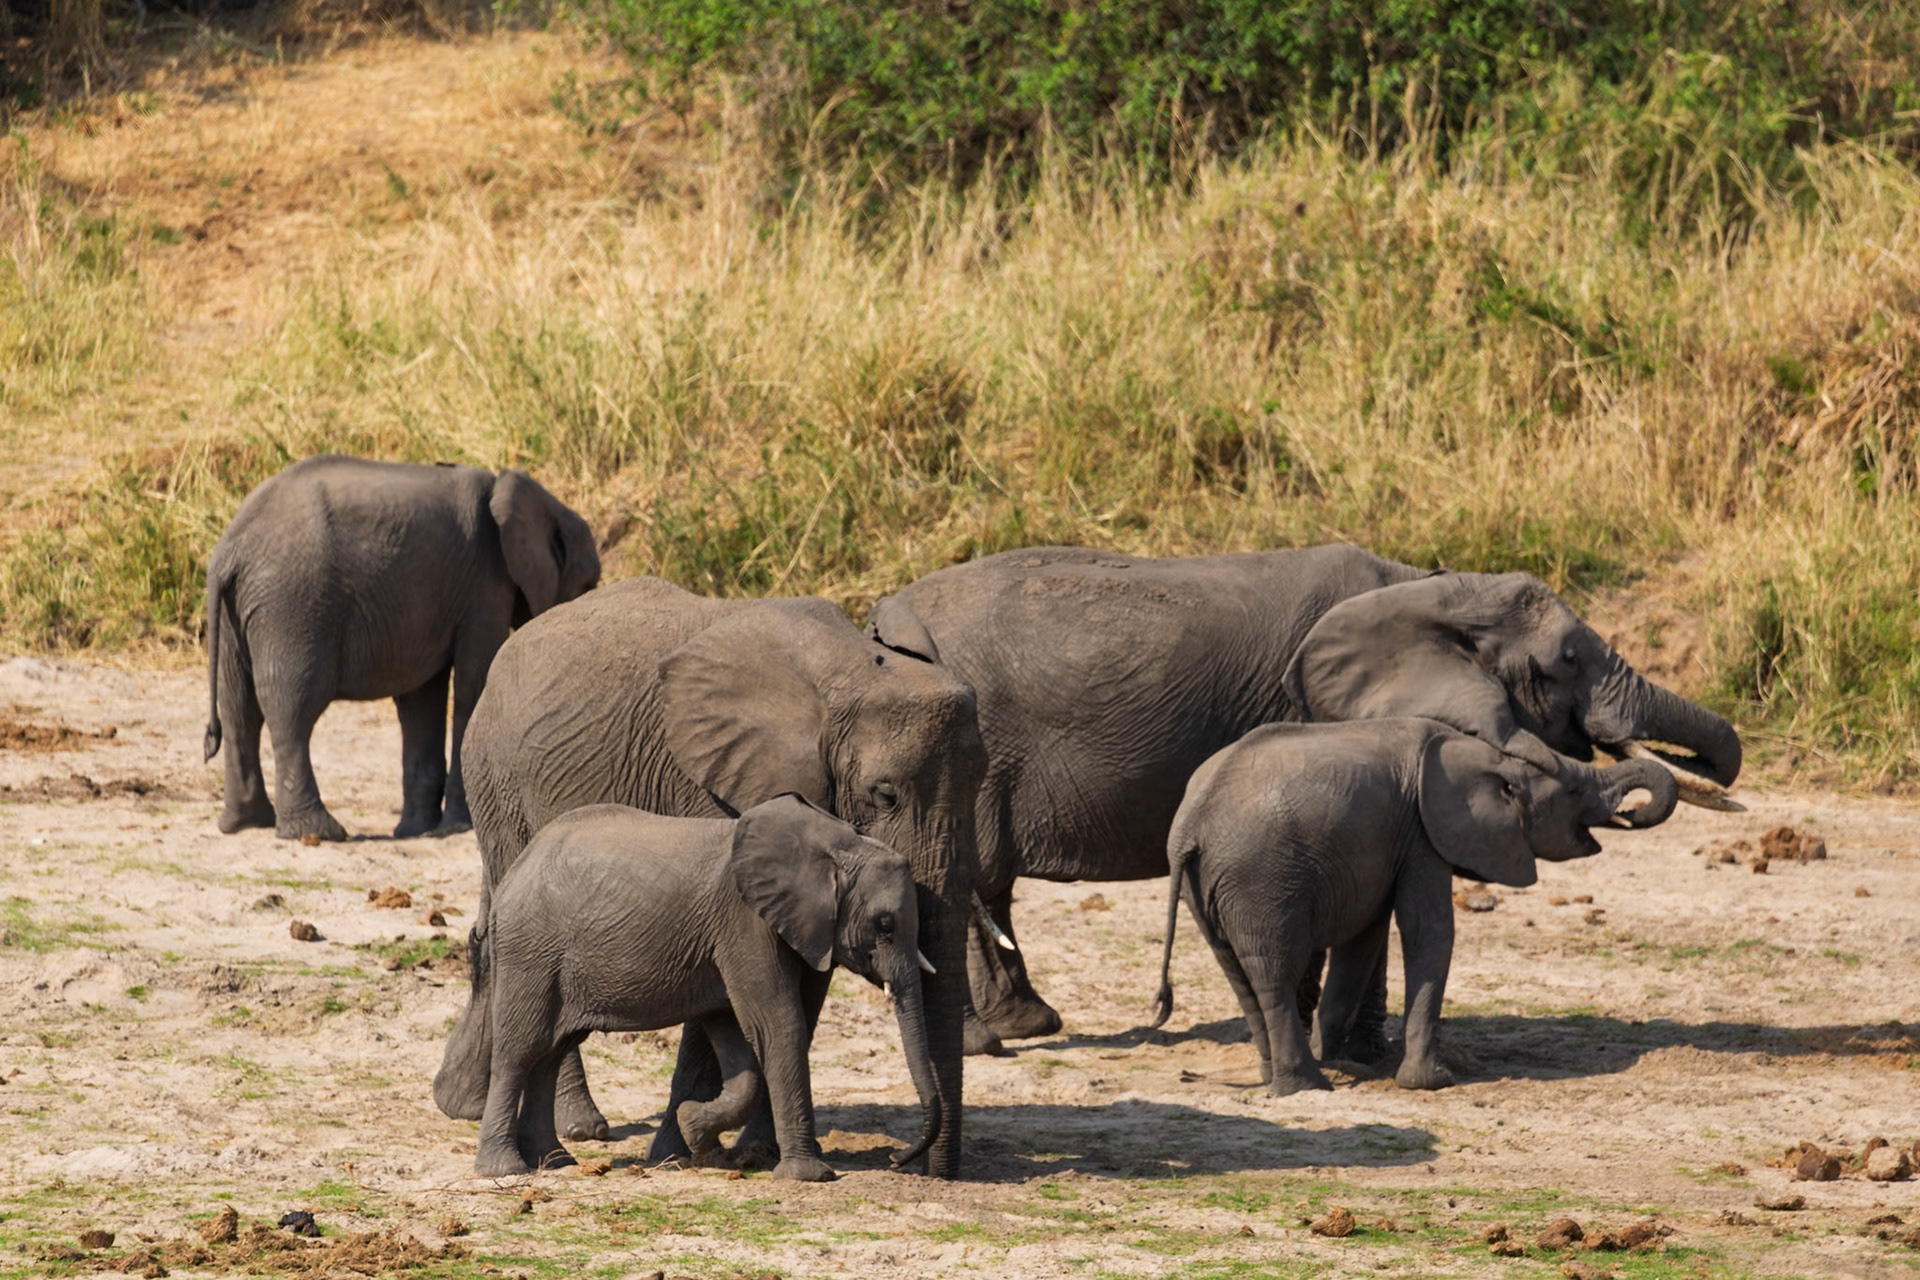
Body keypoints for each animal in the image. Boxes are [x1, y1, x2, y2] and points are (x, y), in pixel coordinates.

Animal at [202, 455, 600, 841]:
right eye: (587, 585)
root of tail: (229, 548)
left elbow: (421, 700)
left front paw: (417, 830)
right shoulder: (485, 582)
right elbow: (472, 683)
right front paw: (457, 827)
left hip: (239, 612)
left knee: (239, 709)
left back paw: (245, 824)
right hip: (294, 604)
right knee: (292, 708)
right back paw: (316, 832)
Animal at [476, 796, 939, 1181]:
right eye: (885, 924)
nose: (896, 1159)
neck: (835, 842)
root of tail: (512, 873)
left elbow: (735, 1039)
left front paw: (697, 1134)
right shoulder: (745, 922)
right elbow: (777, 1026)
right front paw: (809, 1176)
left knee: (551, 1051)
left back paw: (555, 1161)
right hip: (531, 953)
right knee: (521, 1050)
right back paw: (506, 1169)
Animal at [867, 544, 1742, 1055]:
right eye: (1566, 661)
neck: (1431, 588)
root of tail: (882, 613)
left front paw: (1353, 1041)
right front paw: (1355, 1044)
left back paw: (1023, 1026)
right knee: (975, 878)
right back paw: (1001, 1037)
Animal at [1150, 719, 1679, 1094]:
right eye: (1573, 790)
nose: (1628, 814)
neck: (1487, 756)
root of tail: (1191, 824)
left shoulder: (1384, 847)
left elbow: (1362, 939)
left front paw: (1342, 1060)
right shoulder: (1423, 833)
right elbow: (1429, 930)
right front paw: (1432, 1082)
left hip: (1210, 886)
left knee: (1238, 971)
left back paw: (1279, 1075)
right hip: (1259, 878)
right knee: (1273, 971)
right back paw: (1304, 1087)